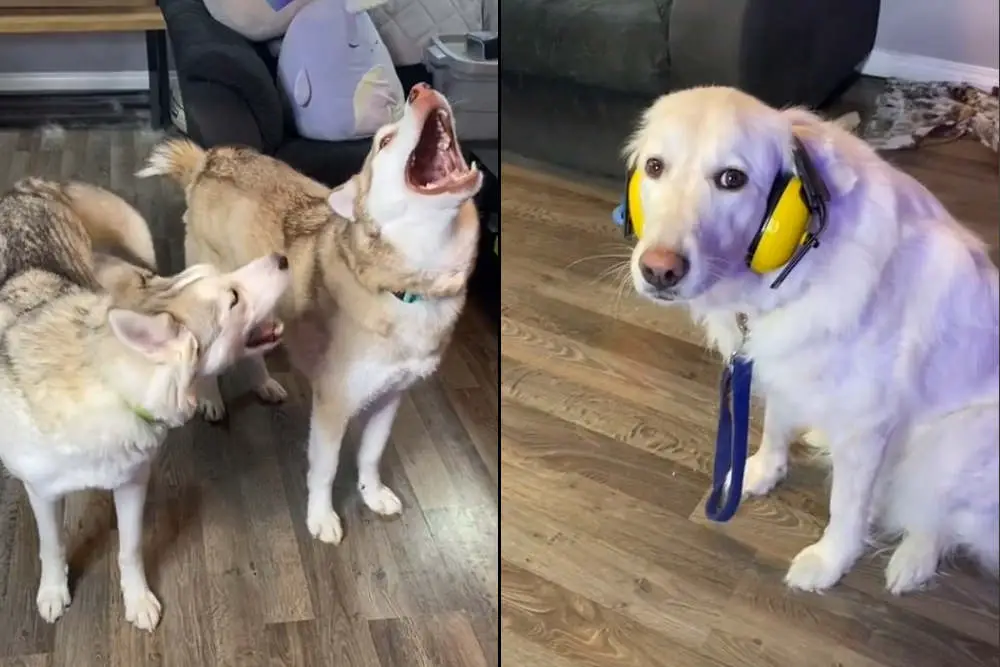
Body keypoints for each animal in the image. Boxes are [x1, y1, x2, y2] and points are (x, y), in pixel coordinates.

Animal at [628, 87, 996, 596]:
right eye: (655, 167)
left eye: (731, 179)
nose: (659, 271)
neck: (798, 265)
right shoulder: (780, 365)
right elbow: (775, 426)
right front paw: (761, 471)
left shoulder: (867, 424)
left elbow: (846, 507)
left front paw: (830, 561)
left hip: (955, 442)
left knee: (938, 515)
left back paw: (913, 561)